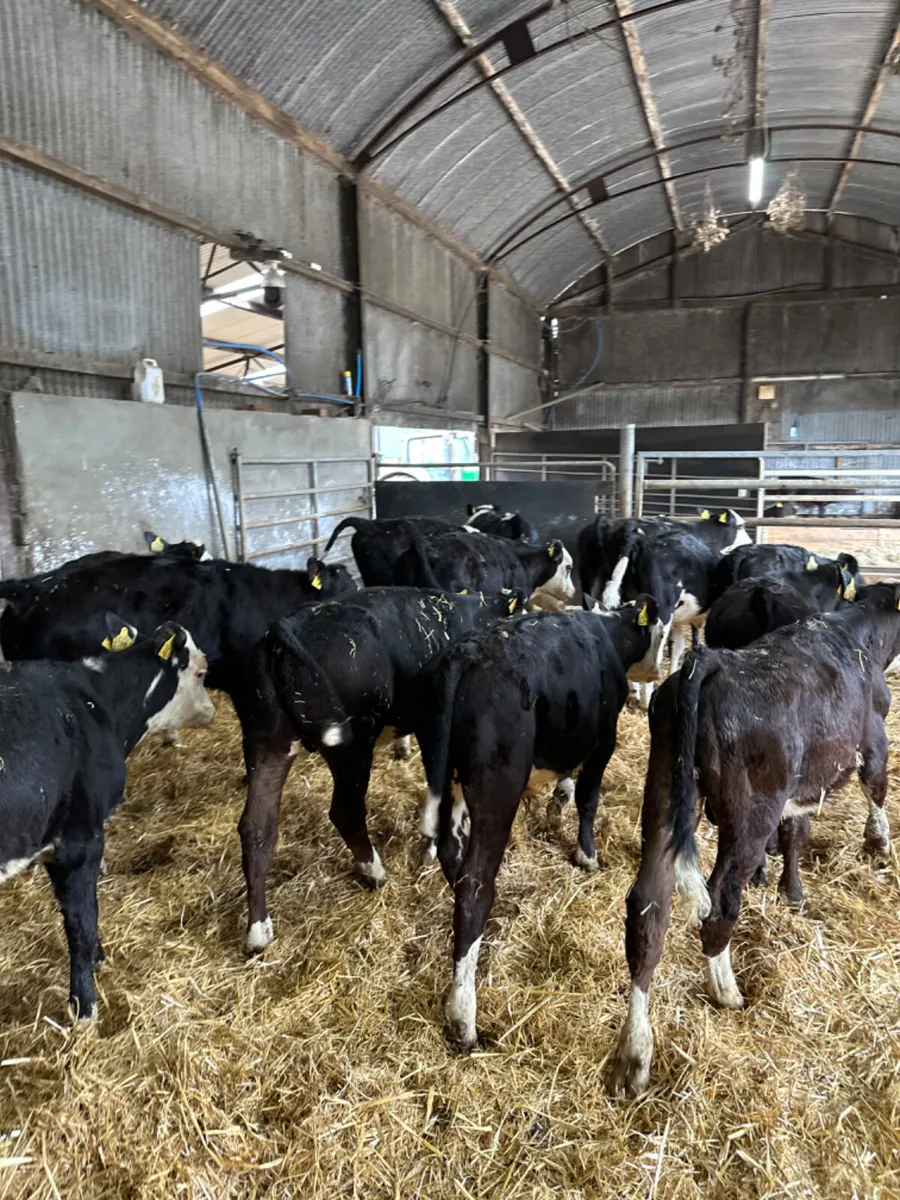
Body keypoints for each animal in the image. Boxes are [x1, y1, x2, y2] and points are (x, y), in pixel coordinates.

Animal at [236, 587, 526, 953]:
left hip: (266, 742)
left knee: (257, 827)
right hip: (353, 741)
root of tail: (284, 627)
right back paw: (374, 872)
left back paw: (258, 931)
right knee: (345, 810)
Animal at [413, 598, 665, 1051]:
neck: (607, 632)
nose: (660, 669)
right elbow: (588, 797)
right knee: (475, 883)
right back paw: (463, 1015)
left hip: (451, 776)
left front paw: (555, 806)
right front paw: (586, 853)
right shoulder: (604, 740)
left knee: (452, 855)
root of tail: (466, 654)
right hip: (496, 785)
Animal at [611, 583, 900, 1096]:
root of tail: (710, 662)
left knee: (648, 911)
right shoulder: (873, 740)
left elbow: (797, 830)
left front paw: (791, 889)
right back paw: (727, 990)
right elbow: (877, 787)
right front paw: (878, 843)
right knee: (719, 904)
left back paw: (636, 1052)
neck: (860, 635)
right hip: (750, 812)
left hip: (664, 796)